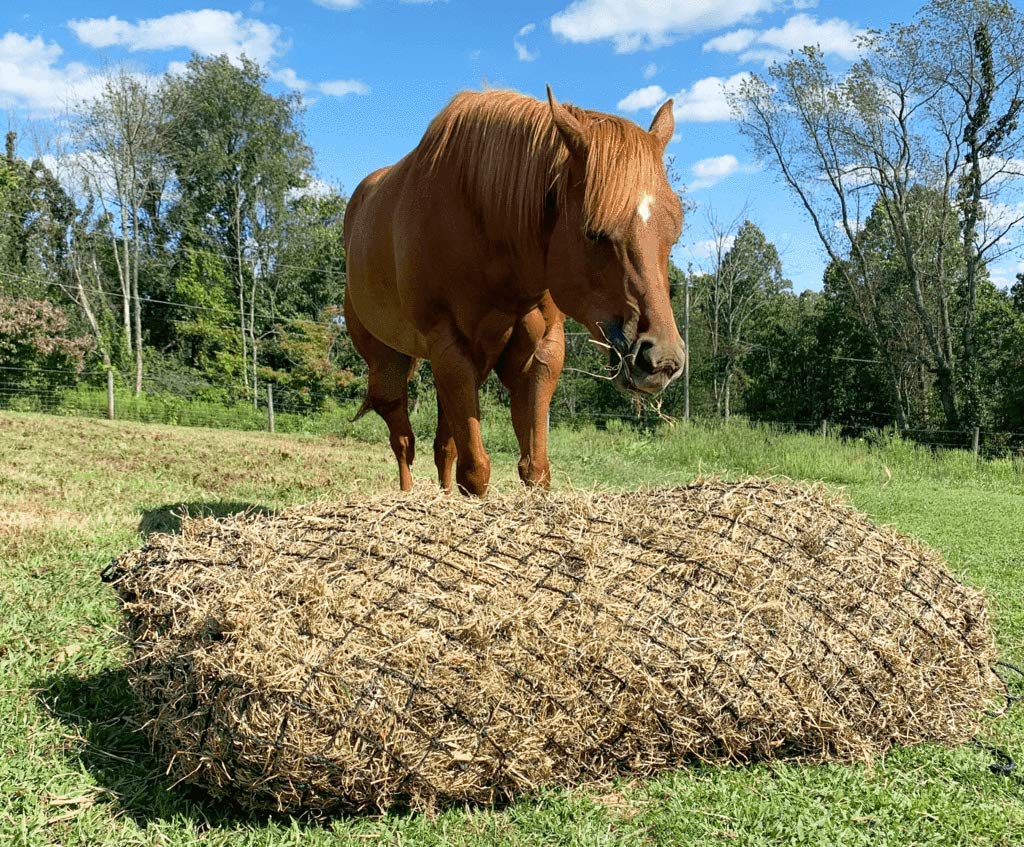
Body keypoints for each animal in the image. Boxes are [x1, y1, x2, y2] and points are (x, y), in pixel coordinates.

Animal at [343, 86, 686, 496]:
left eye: (674, 232)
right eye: (594, 232)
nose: (662, 360)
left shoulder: (538, 354)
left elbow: (534, 468)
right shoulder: (450, 350)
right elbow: (475, 472)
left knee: (442, 447)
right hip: (390, 366)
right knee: (402, 440)